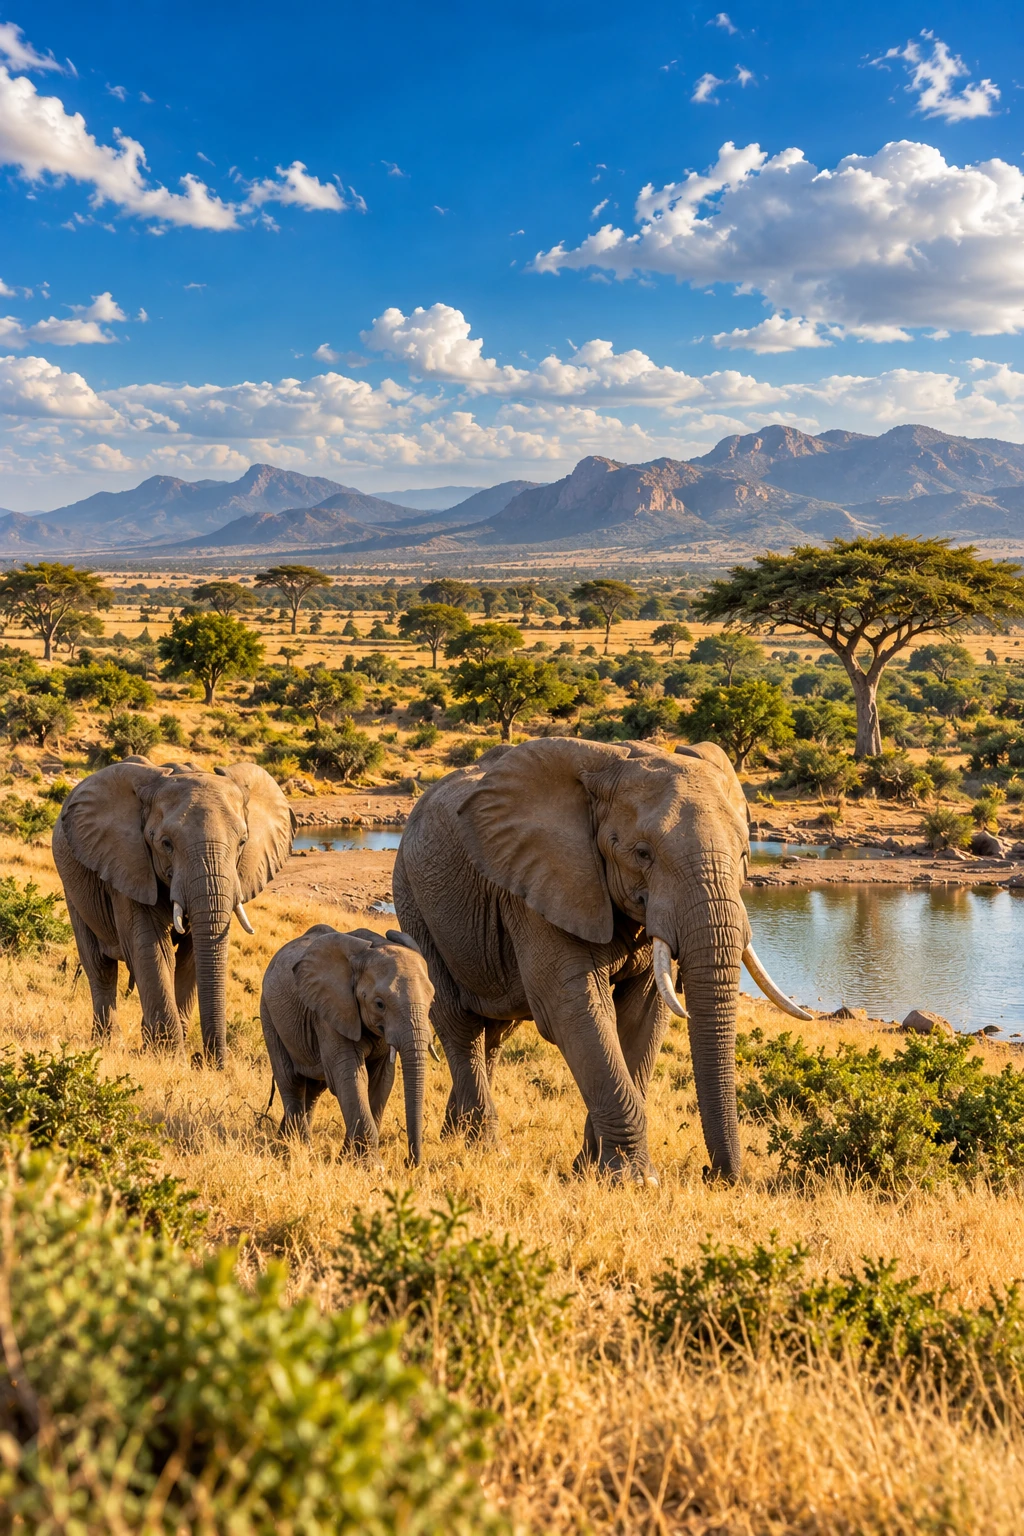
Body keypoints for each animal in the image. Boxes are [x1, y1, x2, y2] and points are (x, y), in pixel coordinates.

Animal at [52, 758, 293, 1065]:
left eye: (242, 842)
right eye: (166, 844)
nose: (205, 1061)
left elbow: (190, 957)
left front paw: (165, 1053)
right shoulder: (129, 864)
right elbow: (153, 949)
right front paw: (171, 1058)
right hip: (71, 883)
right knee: (99, 966)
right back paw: (108, 1043)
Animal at [259, 925, 434, 1165]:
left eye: (432, 1002)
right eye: (379, 1004)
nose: (409, 1163)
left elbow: (381, 1081)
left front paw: (347, 1160)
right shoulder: (331, 1012)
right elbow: (350, 1075)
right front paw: (372, 1166)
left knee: (314, 1089)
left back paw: (284, 1143)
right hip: (269, 1013)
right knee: (290, 1079)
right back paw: (297, 1150)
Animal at [393, 737, 809, 1183]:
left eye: (746, 854)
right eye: (642, 853)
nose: (715, 1175)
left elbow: (643, 1015)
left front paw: (590, 1168)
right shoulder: (541, 884)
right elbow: (574, 1007)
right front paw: (634, 1180)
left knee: (495, 1033)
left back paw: (456, 1135)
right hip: (413, 900)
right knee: (460, 1023)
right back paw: (486, 1148)